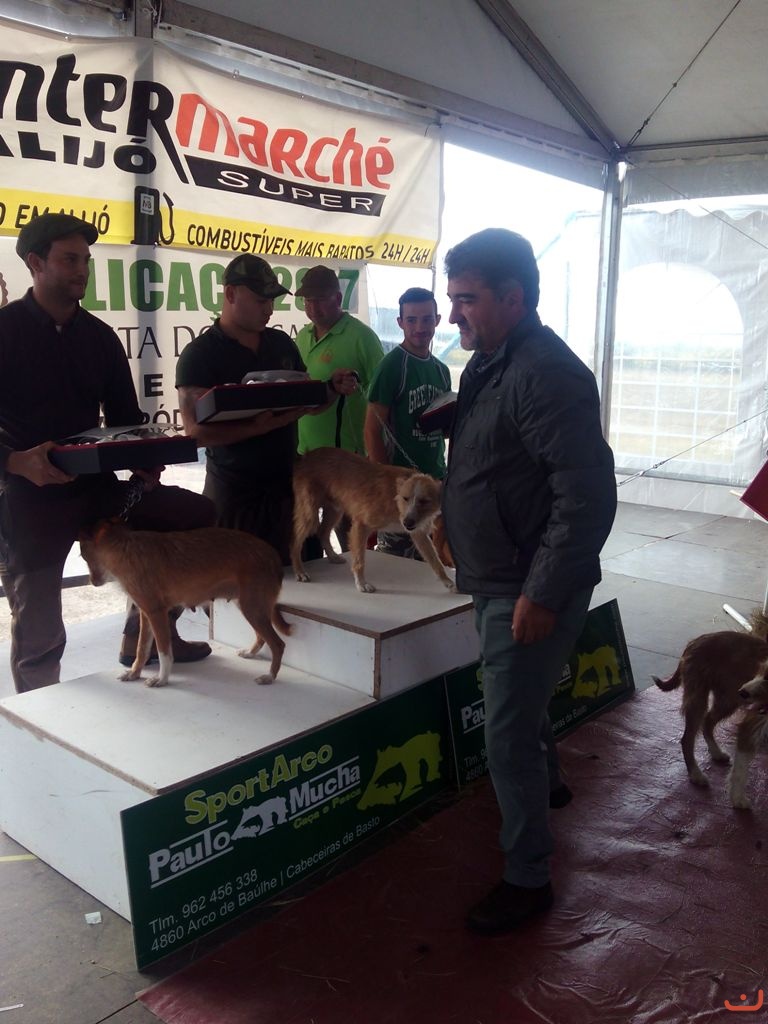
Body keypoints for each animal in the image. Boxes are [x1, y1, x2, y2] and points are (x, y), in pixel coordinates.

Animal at [80, 521, 291, 688]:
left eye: (83, 555)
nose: (92, 582)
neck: (127, 550)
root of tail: (273, 554)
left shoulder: (157, 613)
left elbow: (164, 652)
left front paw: (162, 679)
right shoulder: (146, 615)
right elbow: (142, 649)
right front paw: (134, 673)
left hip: (252, 608)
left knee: (278, 644)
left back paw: (269, 676)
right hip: (250, 607)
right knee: (262, 637)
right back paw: (250, 653)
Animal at [290, 447, 456, 594]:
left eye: (424, 501)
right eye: (405, 498)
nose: (407, 523)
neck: (395, 500)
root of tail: (307, 456)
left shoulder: (419, 533)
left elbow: (436, 561)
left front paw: (448, 582)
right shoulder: (361, 525)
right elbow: (359, 560)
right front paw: (361, 584)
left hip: (335, 510)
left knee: (323, 532)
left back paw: (331, 556)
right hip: (310, 515)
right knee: (295, 541)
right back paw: (299, 571)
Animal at [653, 630, 768, 808]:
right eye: (760, 671)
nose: (743, 691)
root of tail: (697, 639)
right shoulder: (751, 724)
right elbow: (740, 770)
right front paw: (738, 798)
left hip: (727, 699)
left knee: (707, 722)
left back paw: (716, 752)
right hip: (700, 700)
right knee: (687, 739)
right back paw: (696, 774)